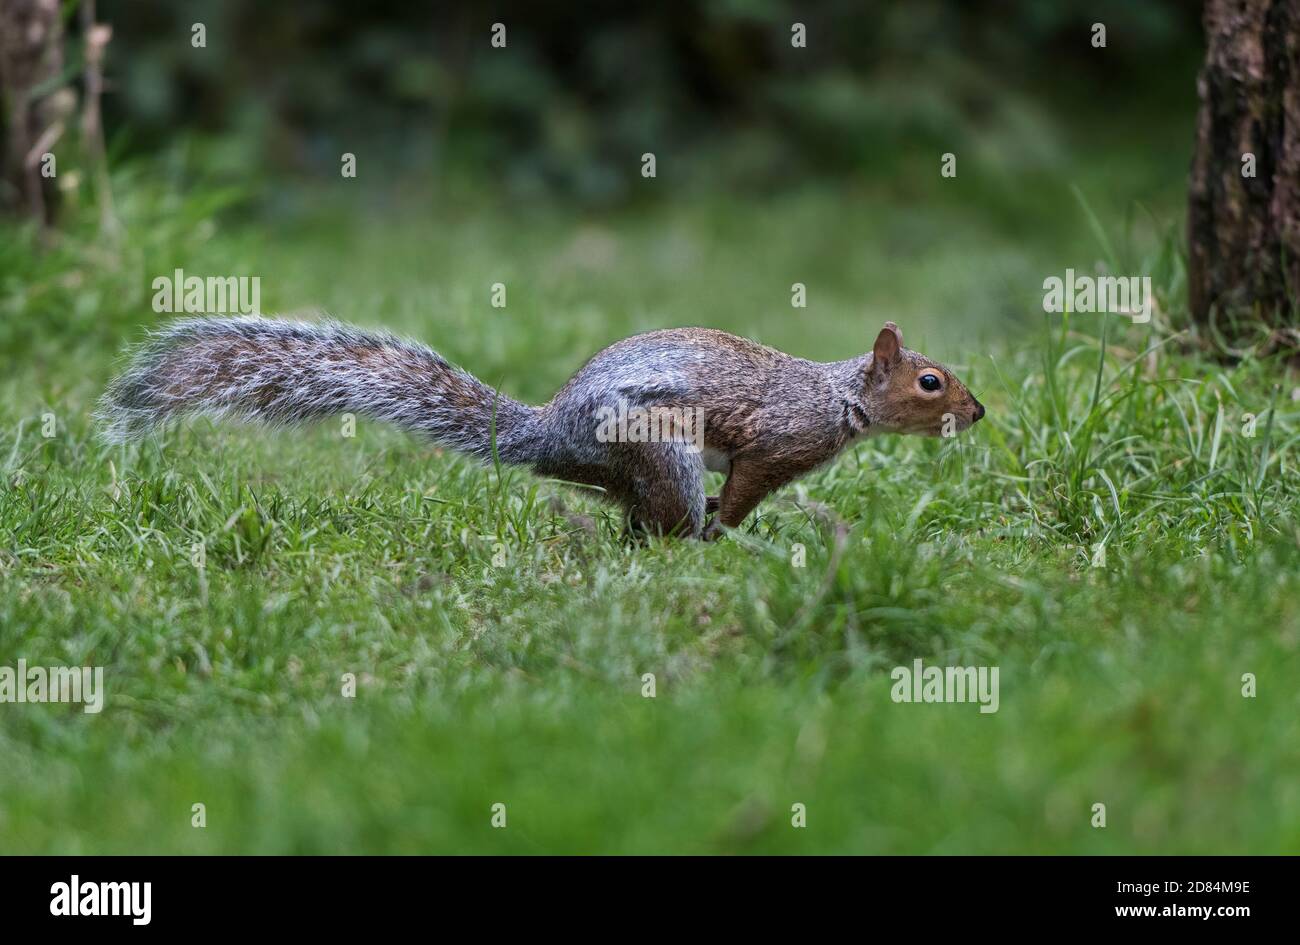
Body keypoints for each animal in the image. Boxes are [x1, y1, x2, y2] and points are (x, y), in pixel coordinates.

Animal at [96, 318, 977, 540]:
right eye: (930, 382)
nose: (979, 412)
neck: (838, 397)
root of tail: (553, 435)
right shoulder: (776, 444)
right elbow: (747, 487)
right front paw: (734, 528)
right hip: (657, 446)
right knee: (660, 524)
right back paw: (700, 538)